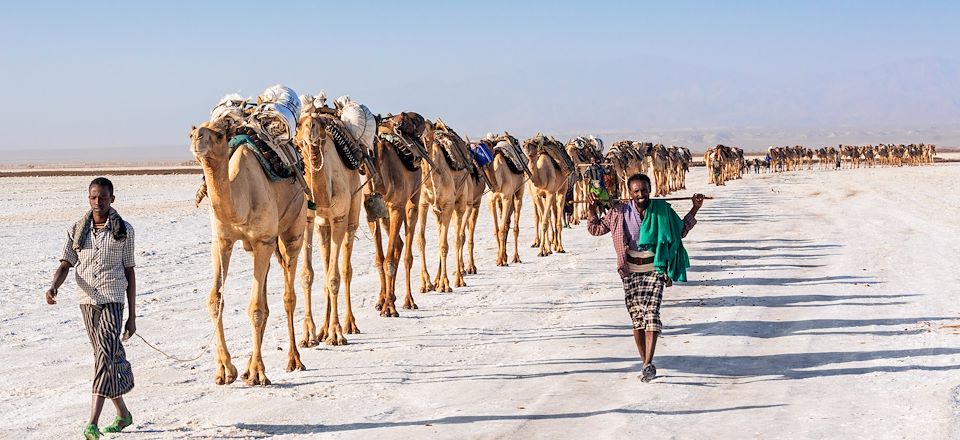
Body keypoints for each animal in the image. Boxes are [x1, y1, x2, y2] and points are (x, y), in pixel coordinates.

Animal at [189, 115, 306, 386]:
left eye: (219, 134)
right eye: (191, 132)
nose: (197, 137)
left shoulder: (263, 240)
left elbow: (255, 309)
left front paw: (258, 373)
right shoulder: (222, 241)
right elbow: (215, 299)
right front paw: (225, 370)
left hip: (293, 230)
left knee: (288, 295)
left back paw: (293, 360)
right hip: (259, 247)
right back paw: (247, 367)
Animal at [294, 110, 362, 348]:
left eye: (321, 124)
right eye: (299, 124)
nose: (310, 129)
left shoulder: (340, 218)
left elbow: (335, 277)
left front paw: (337, 334)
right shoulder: (308, 219)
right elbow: (307, 275)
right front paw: (308, 336)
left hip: (352, 215)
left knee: (346, 269)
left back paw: (350, 324)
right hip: (323, 226)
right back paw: (323, 330)